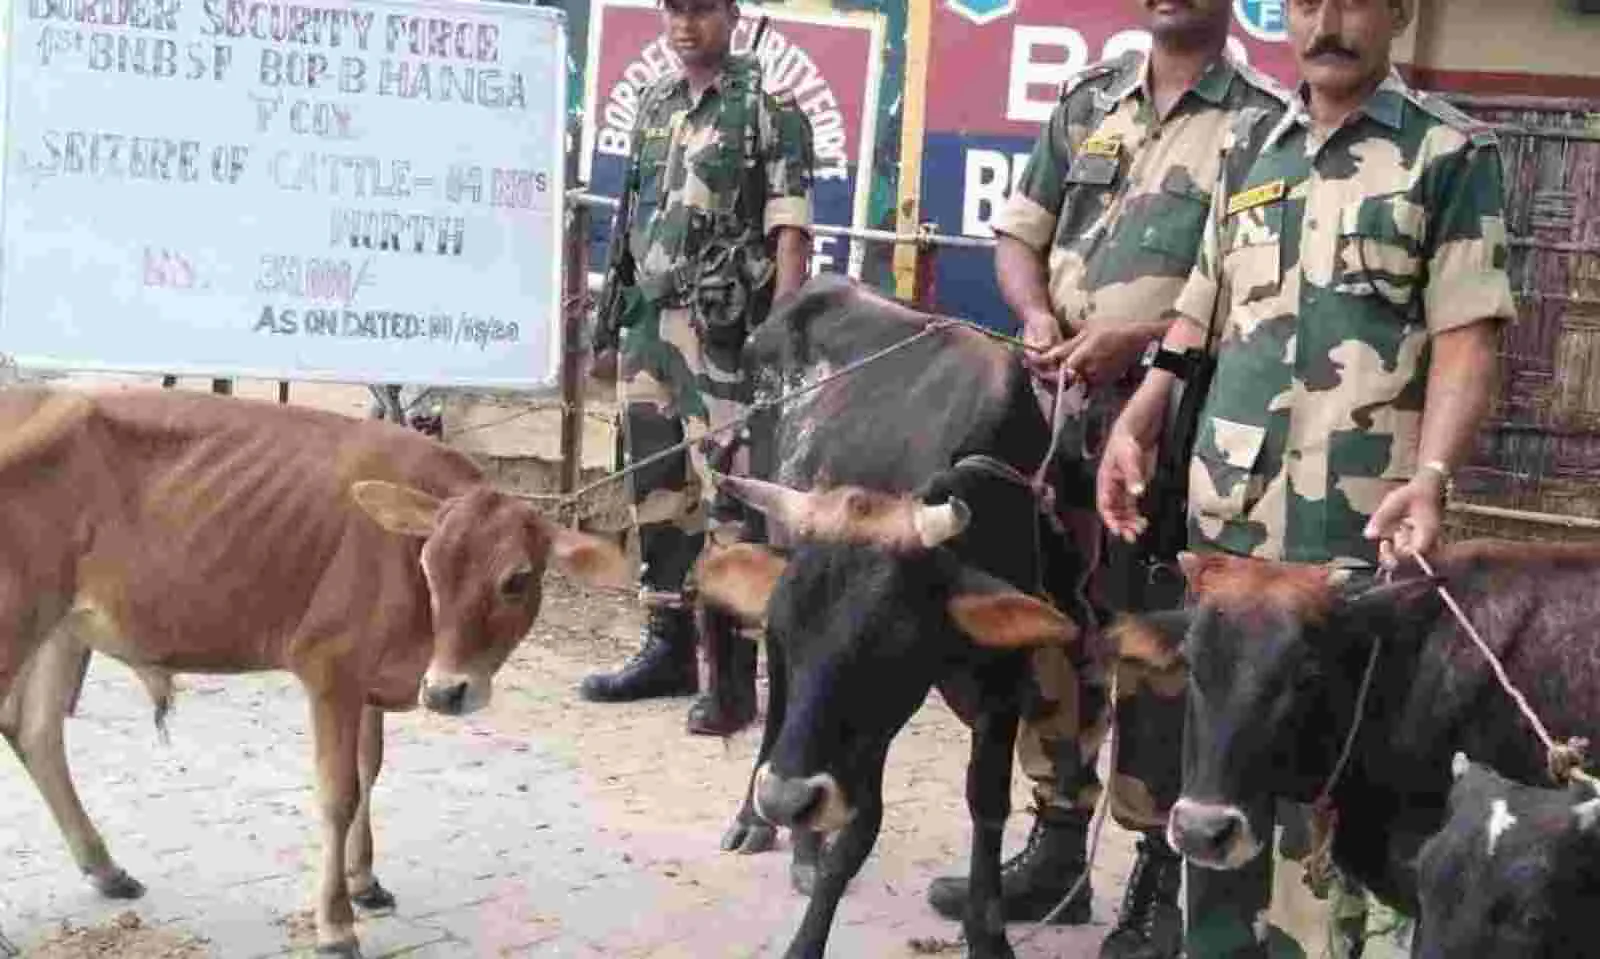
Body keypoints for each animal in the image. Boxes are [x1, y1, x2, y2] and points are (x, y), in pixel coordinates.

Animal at [0, 385, 624, 954]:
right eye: (429, 565)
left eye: (516, 579)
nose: (447, 692)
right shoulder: (329, 667)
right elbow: (337, 793)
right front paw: (336, 923)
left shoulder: (370, 681)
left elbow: (369, 771)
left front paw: (365, 881)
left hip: (61, 624)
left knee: (36, 731)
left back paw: (107, 869)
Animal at [700, 272, 1100, 959]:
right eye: (786, 632)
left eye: (888, 643)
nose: (786, 798)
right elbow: (862, 827)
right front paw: (806, 939)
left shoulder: (1002, 681)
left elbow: (987, 803)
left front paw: (987, 933)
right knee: (777, 712)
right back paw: (762, 823)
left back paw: (801, 843)